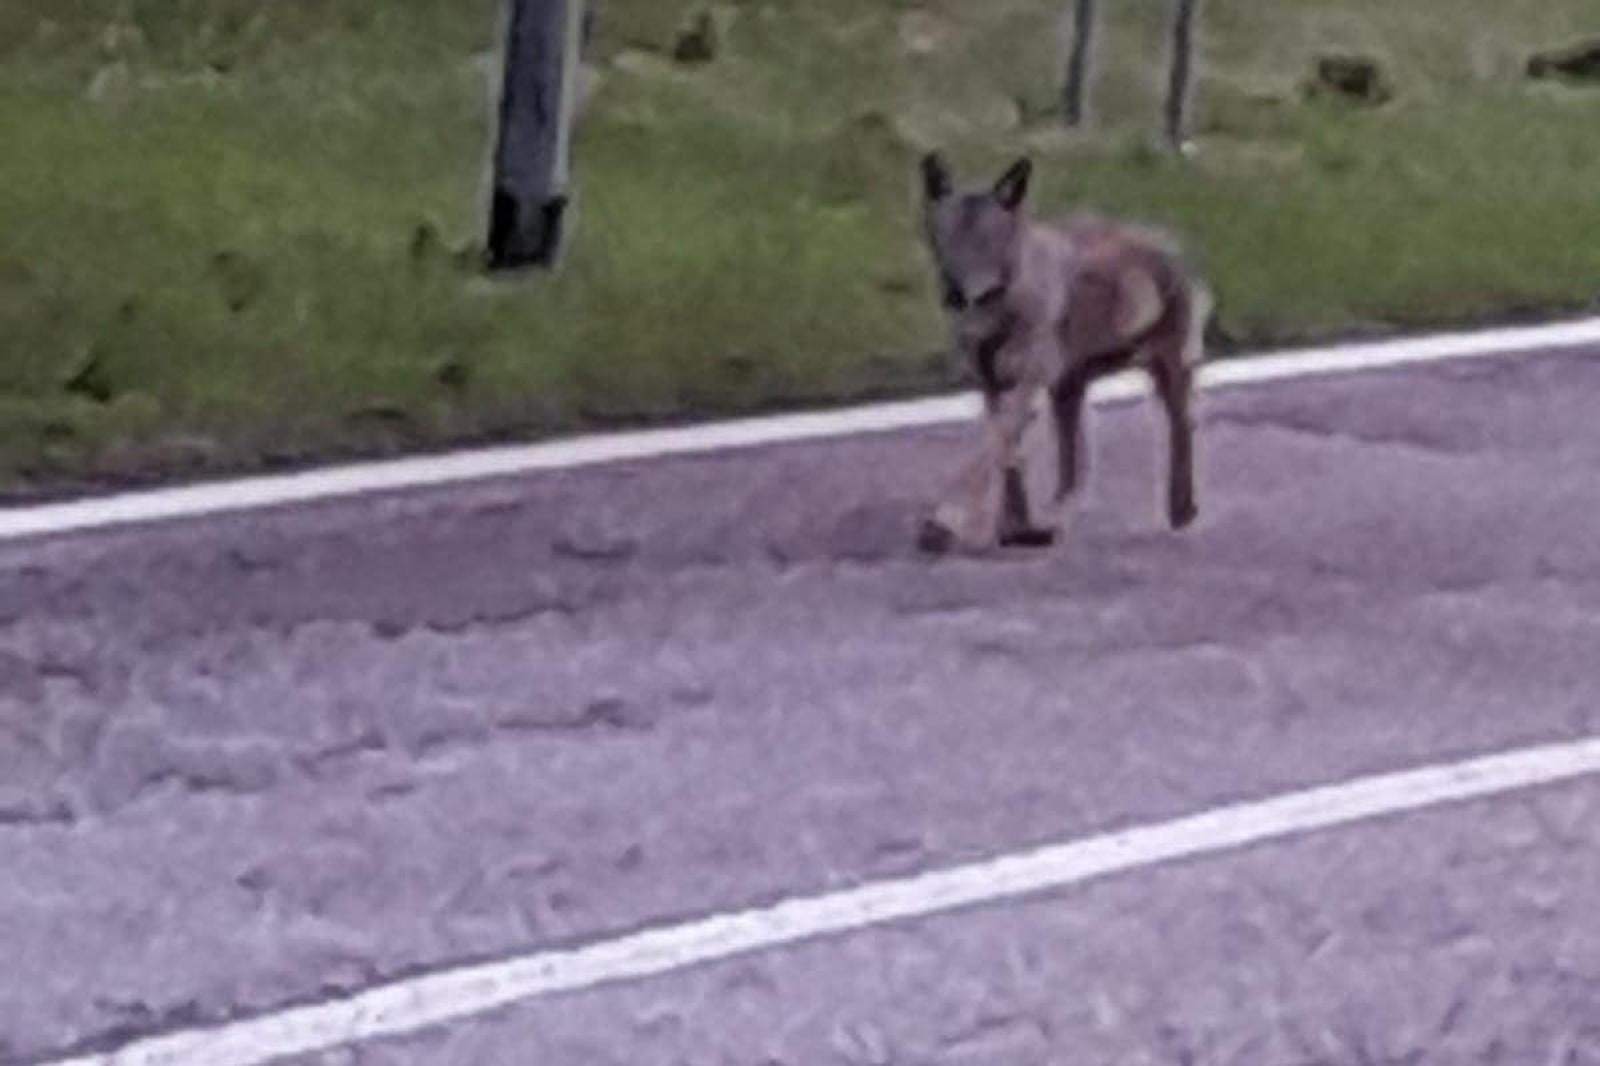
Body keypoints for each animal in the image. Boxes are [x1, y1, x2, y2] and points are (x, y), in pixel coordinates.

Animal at [915, 151, 1213, 552]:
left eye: (986, 241)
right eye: (943, 240)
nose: (954, 294)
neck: (1002, 305)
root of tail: (1167, 244)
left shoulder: (1028, 381)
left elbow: (994, 451)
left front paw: (947, 521)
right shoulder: (992, 386)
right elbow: (1009, 455)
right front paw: (1015, 529)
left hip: (1167, 371)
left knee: (1181, 427)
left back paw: (1181, 509)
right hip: (1068, 390)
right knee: (1073, 471)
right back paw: (1055, 516)